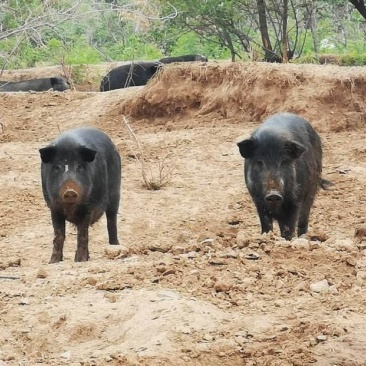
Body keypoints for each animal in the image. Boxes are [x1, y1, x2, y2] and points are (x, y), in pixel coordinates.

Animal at [39, 127, 121, 262]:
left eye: (79, 167)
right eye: (57, 167)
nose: (70, 191)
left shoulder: (88, 208)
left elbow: (82, 234)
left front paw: (80, 261)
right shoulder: (54, 207)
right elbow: (59, 235)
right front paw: (53, 262)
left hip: (115, 193)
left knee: (111, 221)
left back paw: (115, 246)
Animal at [237, 113, 332, 242]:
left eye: (283, 162)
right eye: (259, 162)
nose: (273, 194)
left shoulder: (295, 199)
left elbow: (288, 226)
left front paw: (287, 241)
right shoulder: (258, 199)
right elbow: (266, 224)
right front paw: (266, 237)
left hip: (312, 188)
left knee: (304, 216)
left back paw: (303, 237)